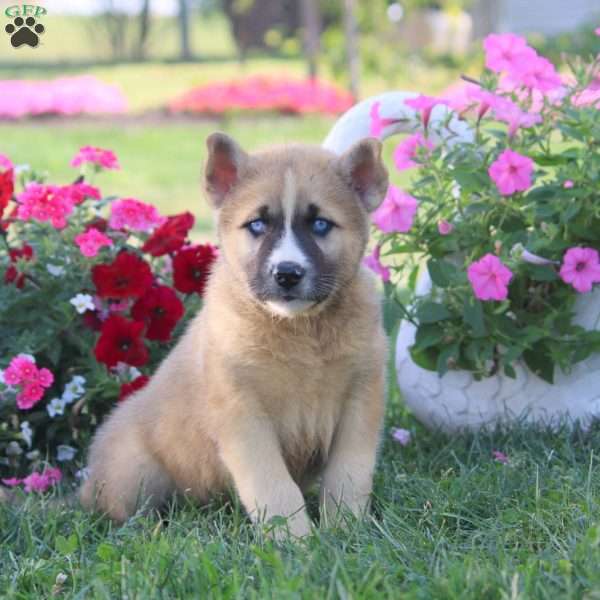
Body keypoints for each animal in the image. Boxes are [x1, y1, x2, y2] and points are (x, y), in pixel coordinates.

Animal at [79, 130, 390, 536]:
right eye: (257, 225)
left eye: (320, 224)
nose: (287, 274)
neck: (301, 330)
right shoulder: (241, 413)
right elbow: (274, 485)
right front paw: (295, 540)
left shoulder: (361, 398)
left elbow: (348, 476)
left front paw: (345, 529)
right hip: (133, 470)